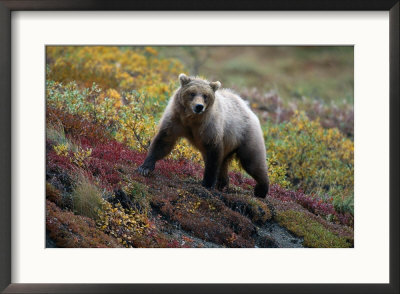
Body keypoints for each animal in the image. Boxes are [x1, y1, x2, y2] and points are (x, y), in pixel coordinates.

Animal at [139, 73, 270, 199]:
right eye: (192, 93)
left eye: (205, 95)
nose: (199, 106)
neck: (192, 119)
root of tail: (248, 109)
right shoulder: (175, 120)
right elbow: (163, 141)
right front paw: (145, 167)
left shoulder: (210, 128)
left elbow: (213, 155)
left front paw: (207, 183)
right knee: (224, 163)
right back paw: (222, 184)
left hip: (246, 135)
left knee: (252, 161)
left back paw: (261, 190)